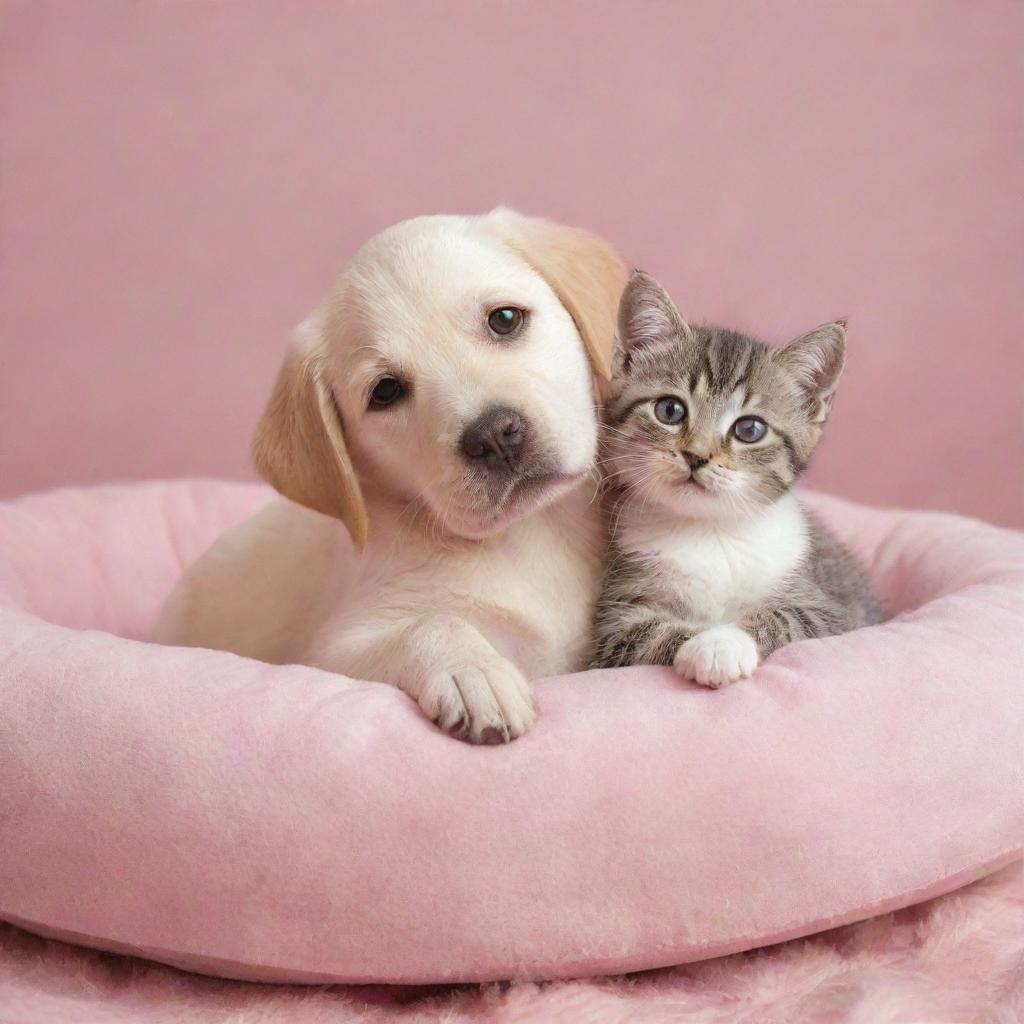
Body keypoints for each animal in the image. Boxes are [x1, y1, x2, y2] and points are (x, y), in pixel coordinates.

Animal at [154, 207, 626, 745]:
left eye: (505, 319)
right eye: (386, 392)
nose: (495, 436)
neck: (530, 534)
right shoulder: (328, 653)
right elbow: (432, 623)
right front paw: (473, 673)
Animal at [593, 272, 880, 688]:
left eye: (749, 429)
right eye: (670, 410)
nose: (696, 456)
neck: (710, 532)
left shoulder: (835, 613)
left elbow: (785, 620)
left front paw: (723, 644)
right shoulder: (612, 629)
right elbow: (646, 635)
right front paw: (706, 645)